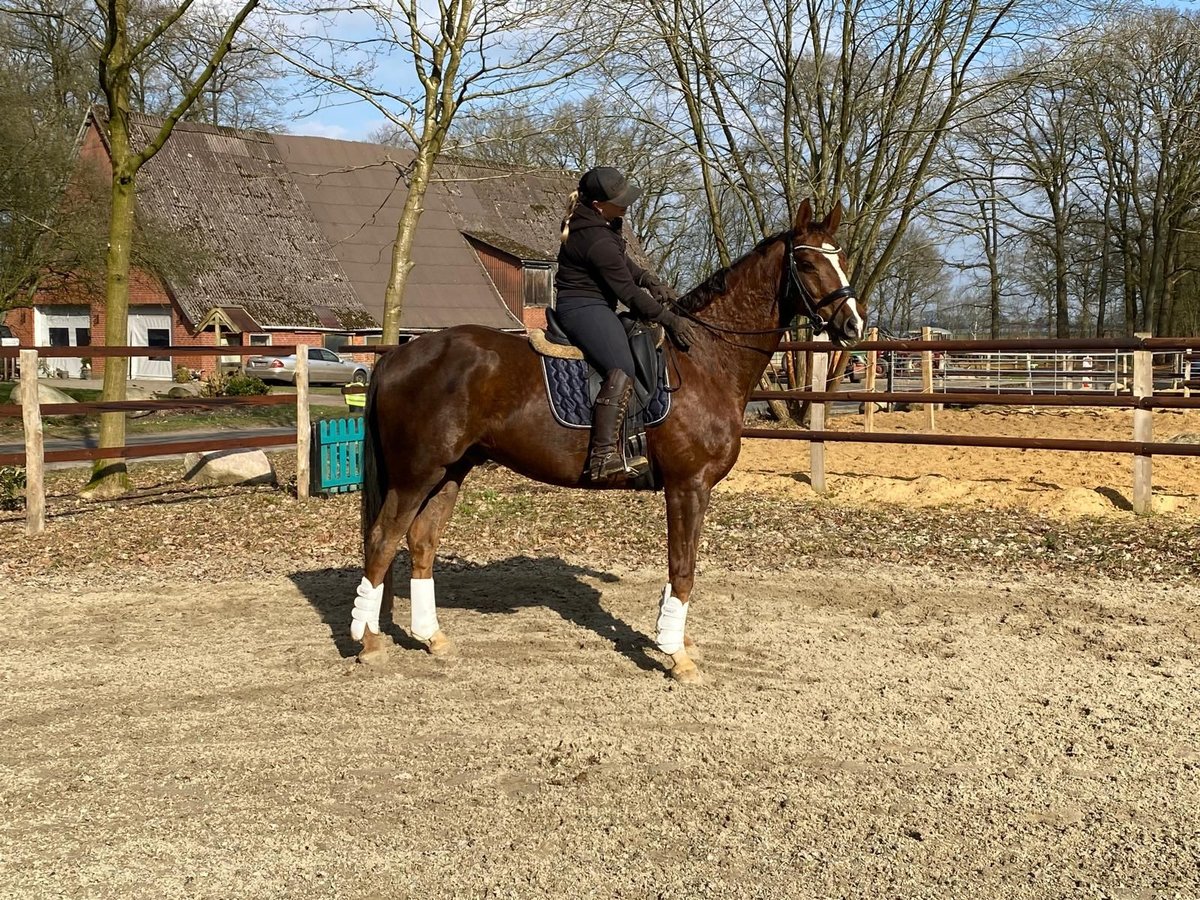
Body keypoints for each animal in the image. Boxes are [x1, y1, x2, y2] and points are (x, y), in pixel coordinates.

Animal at [348, 196, 864, 681]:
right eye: (807, 264)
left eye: (841, 257)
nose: (853, 326)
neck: (703, 359)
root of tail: (397, 357)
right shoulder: (688, 486)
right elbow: (683, 568)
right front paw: (676, 656)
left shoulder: (691, 490)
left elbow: (682, 565)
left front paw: (674, 639)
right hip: (416, 474)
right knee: (382, 540)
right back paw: (369, 642)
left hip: (450, 472)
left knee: (421, 543)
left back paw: (431, 637)